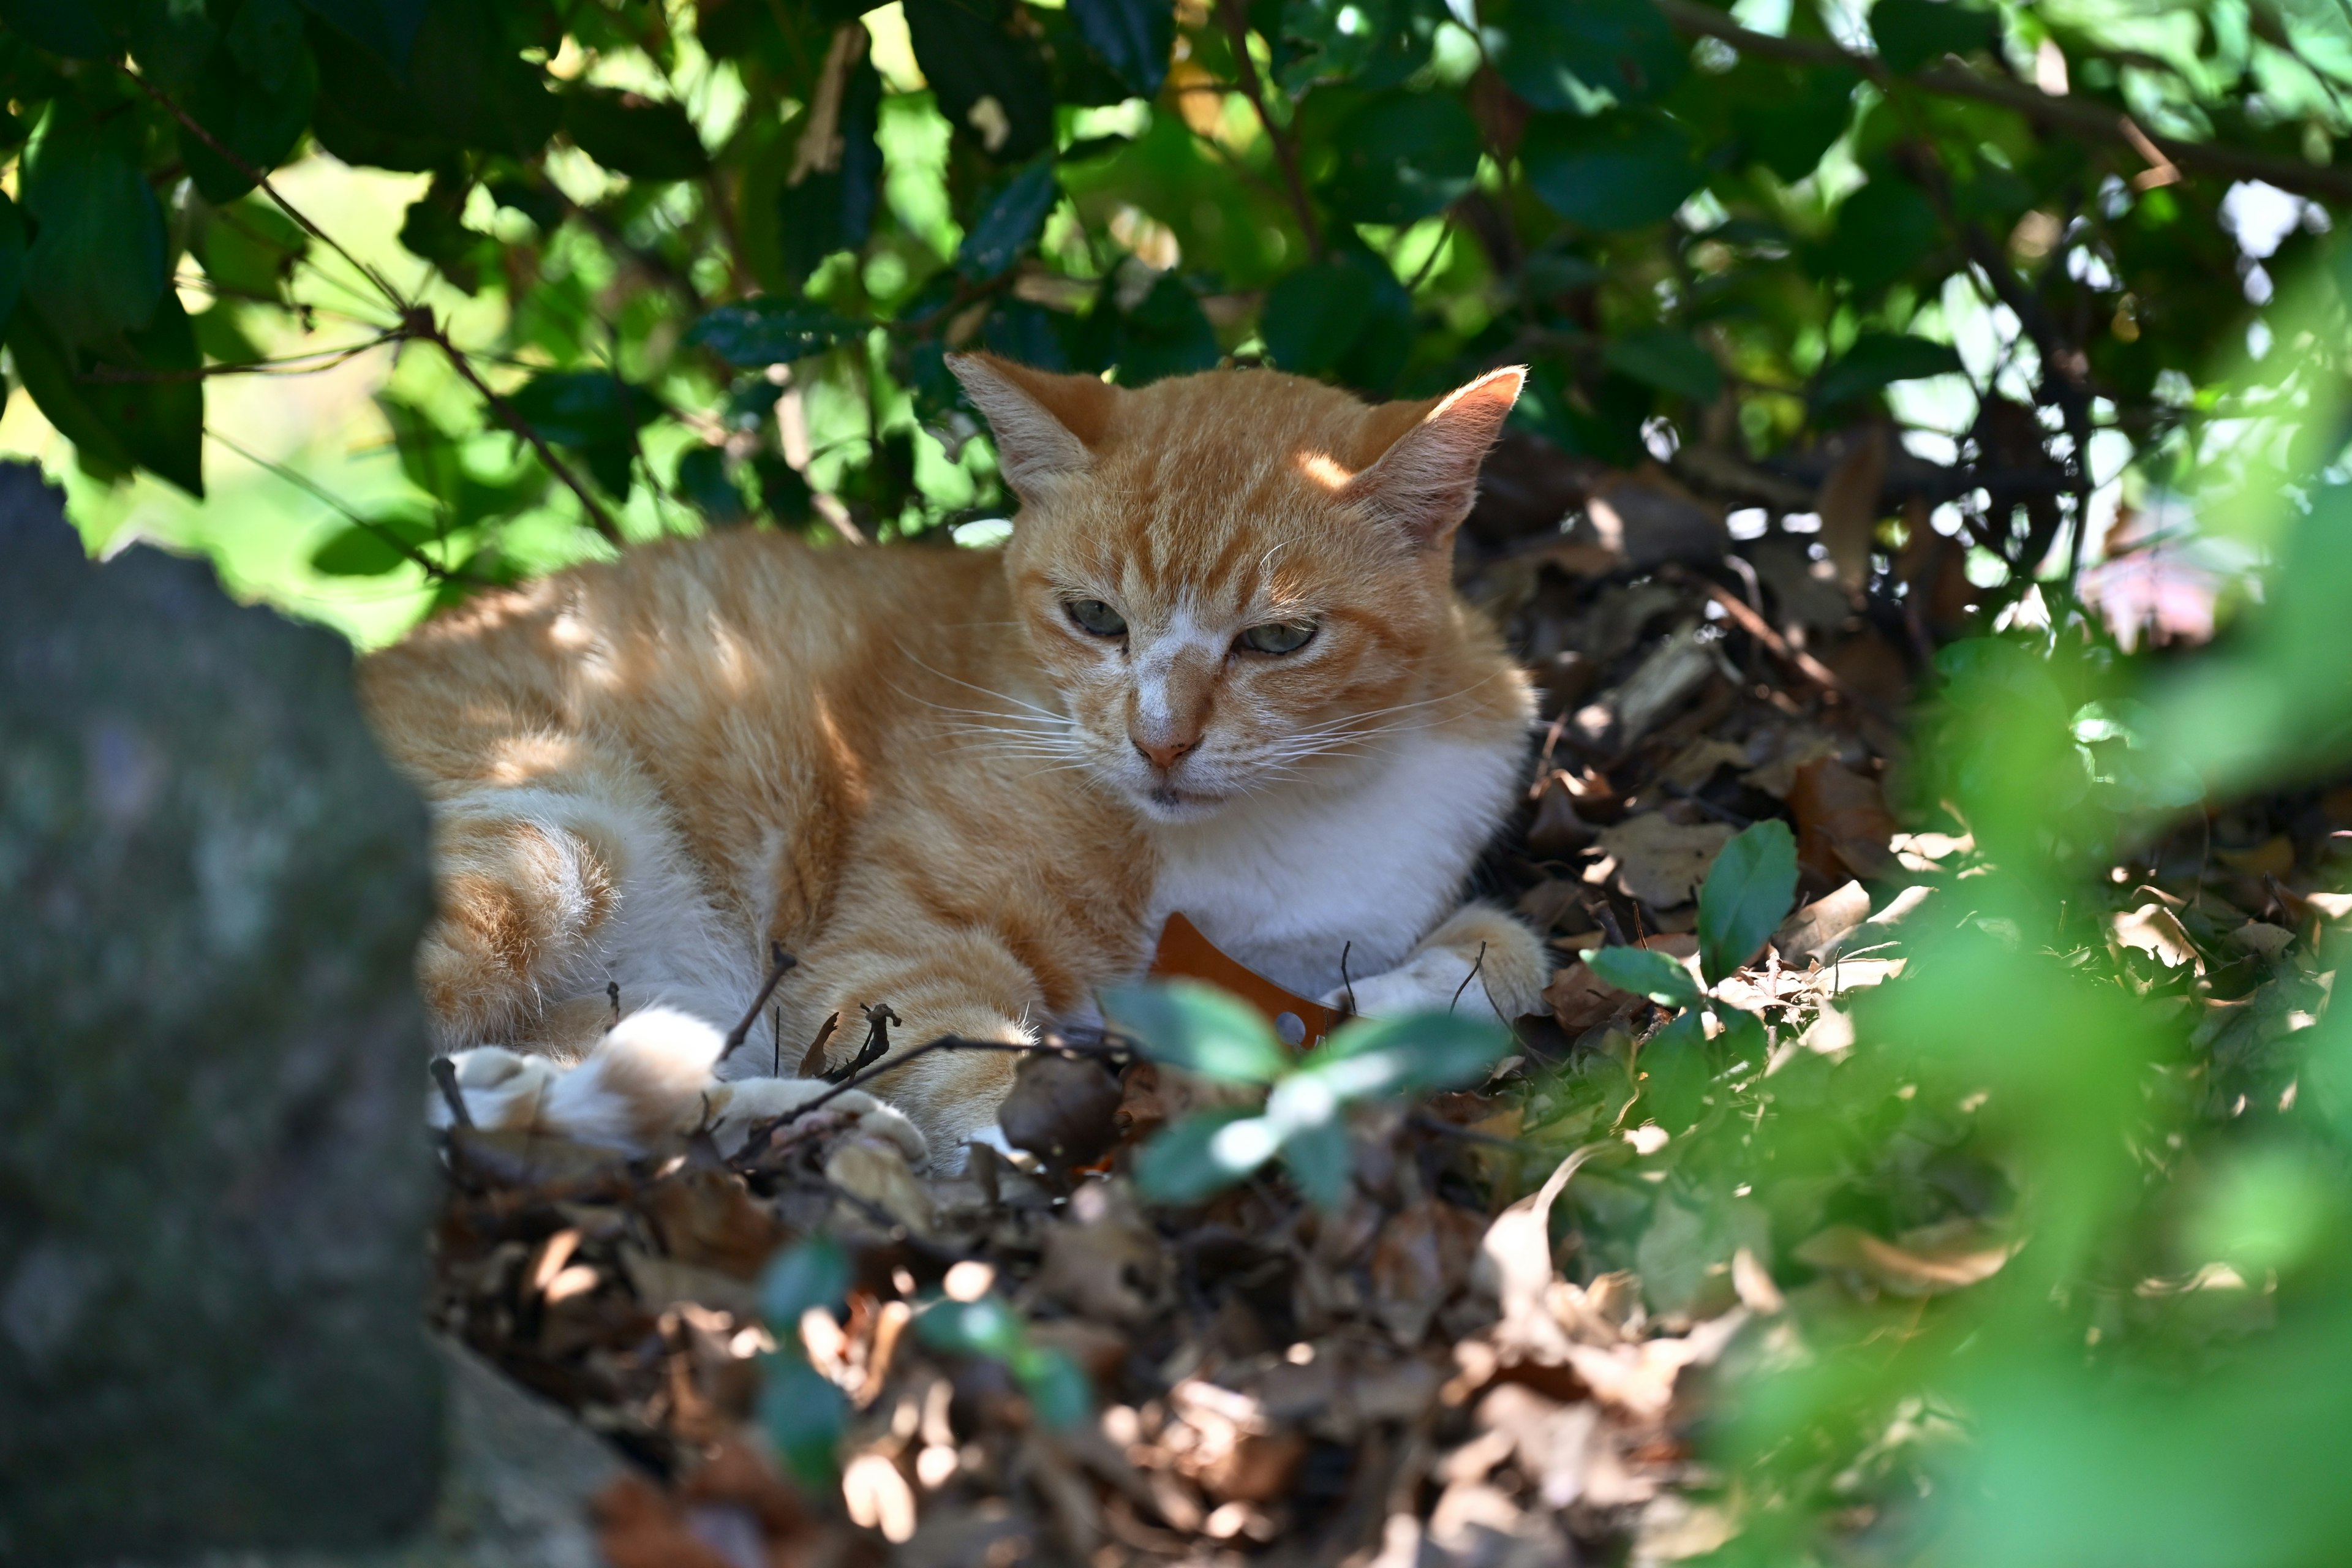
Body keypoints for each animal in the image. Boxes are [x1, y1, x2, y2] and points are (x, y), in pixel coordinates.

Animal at [362, 352, 1543, 1166]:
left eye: (1281, 640)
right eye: (1094, 619)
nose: (1159, 739)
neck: (1281, 820)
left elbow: (1509, 954)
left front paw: (1376, 1019)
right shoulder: (883, 957)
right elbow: (972, 1054)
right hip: (555, 835)